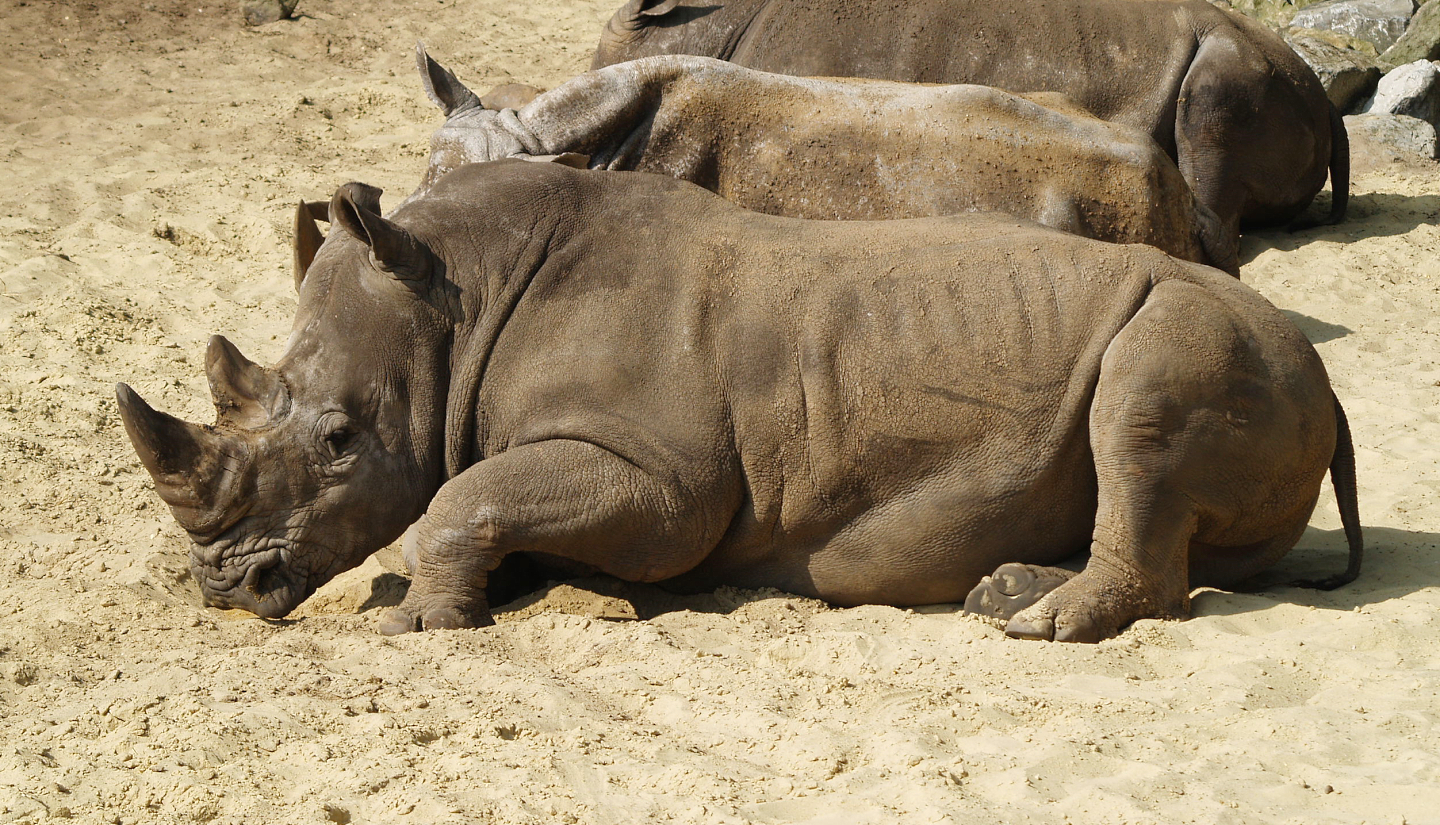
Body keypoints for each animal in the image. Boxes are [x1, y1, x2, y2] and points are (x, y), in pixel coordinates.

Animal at [115, 160, 1361, 642]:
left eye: (338, 439)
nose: (226, 589)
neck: (450, 299)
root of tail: (1335, 389)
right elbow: (476, 495)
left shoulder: (663, 480)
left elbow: (458, 501)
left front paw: (421, 623)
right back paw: (1005, 594)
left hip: (1220, 334)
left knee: (1143, 403)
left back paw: (1037, 625)